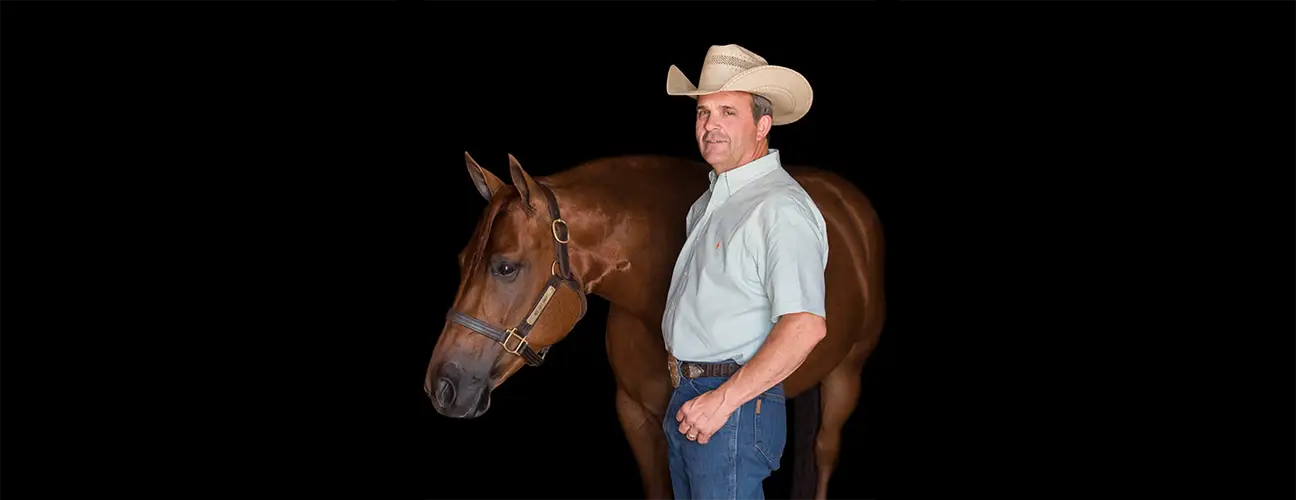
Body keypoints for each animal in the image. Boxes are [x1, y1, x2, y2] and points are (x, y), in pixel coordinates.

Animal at [425, 151, 885, 500]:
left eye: (505, 267)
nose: (441, 386)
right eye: (462, 261)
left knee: (823, 451)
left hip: (846, 377)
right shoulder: (636, 418)